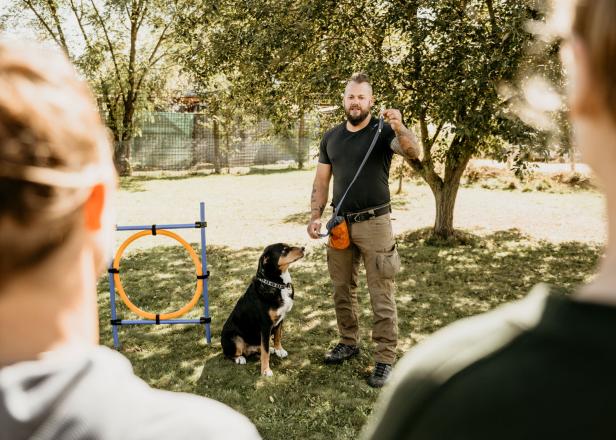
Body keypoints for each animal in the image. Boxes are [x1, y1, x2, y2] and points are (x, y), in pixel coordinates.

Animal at [224, 242, 306, 376]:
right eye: (284, 250)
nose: (303, 248)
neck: (277, 285)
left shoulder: (280, 319)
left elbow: (277, 336)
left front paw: (279, 350)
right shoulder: (265, 326)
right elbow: (265, 352)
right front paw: (266, 370)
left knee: (260, 347)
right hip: (234, 338)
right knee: (230, 354)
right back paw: (239, 358)